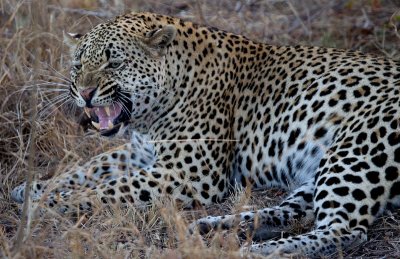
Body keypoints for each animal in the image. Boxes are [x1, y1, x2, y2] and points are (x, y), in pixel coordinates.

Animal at [10, 11, 400, 258]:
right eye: (78, 64)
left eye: (114, 62)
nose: (85, 92)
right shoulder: (140, 151)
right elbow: (89, 169)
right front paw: (32, 189)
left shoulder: (188, 173)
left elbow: (106, 188)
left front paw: (47, 204)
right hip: (319, 168)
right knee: (298, 214)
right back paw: (217, 227)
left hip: (353, 151)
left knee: (344, 231)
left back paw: (255, 252)